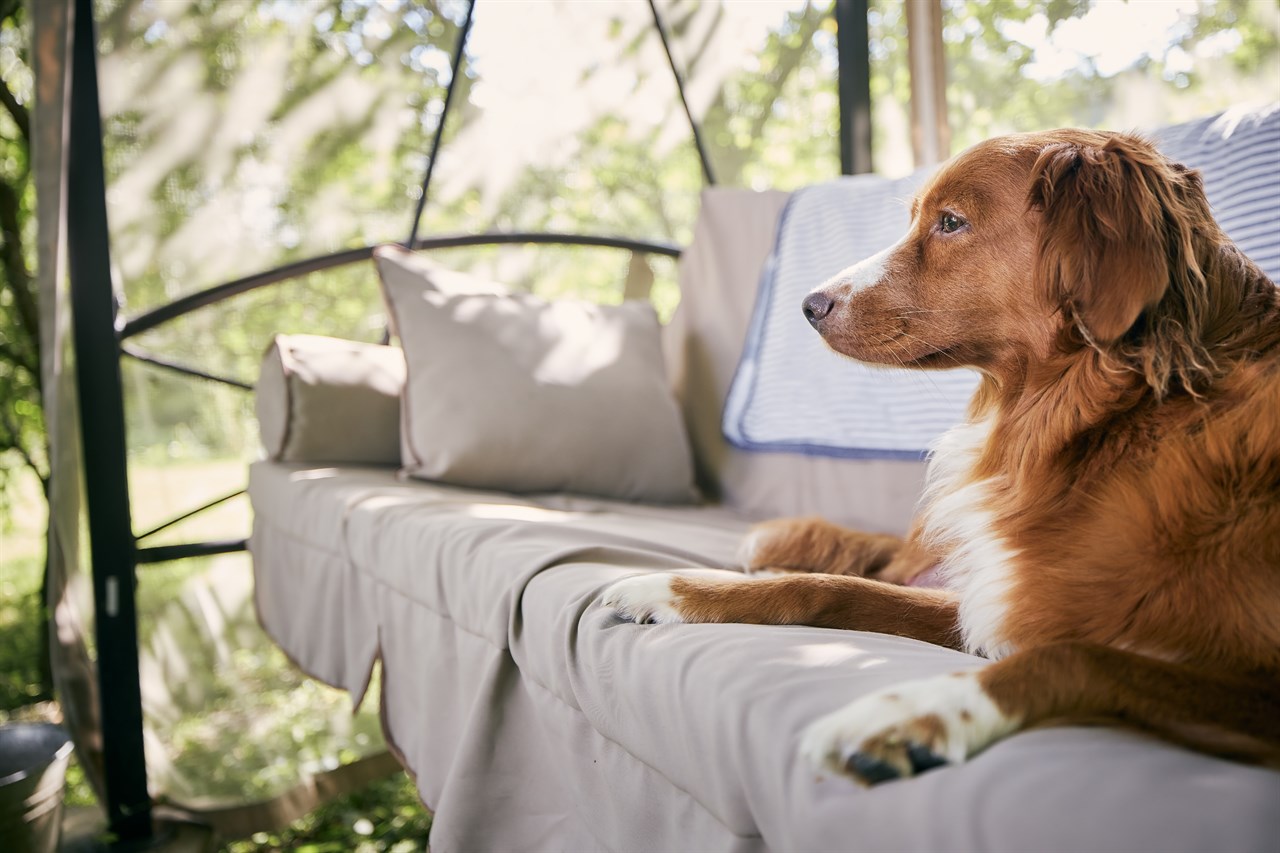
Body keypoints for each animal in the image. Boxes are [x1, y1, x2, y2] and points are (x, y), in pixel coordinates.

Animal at [604, 131, 1280, 783]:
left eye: (951, 222)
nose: (809, 305)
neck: (1106, 417)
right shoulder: (989, 599)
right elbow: (836, 586)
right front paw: (680, 587)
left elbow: (1076, 655)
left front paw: (913, 712)